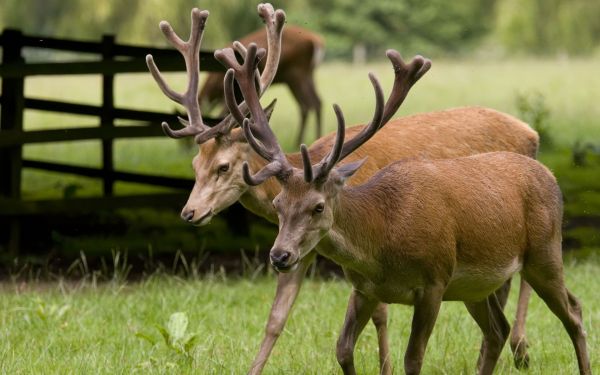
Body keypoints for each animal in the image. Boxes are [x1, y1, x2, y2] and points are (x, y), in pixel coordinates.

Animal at [149, 4, 540, 374]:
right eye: (195, 166)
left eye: (224, 166)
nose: (190, 212)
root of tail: (532, 134)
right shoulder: (302, 248)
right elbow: (276, 318)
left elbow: (381, 313)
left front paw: (385, 367)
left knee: (525, 274)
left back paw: (521, 349)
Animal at [219, 39, 592, 374]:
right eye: (279, 204)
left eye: (318, 206)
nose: (279, 256)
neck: (382, 241)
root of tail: (550, 175)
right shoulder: (365, 289)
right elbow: (343, 349)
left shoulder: (434, 281)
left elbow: (412, 359)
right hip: (476, 287)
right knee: (497, 330)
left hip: (545, 252)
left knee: (574, 311)